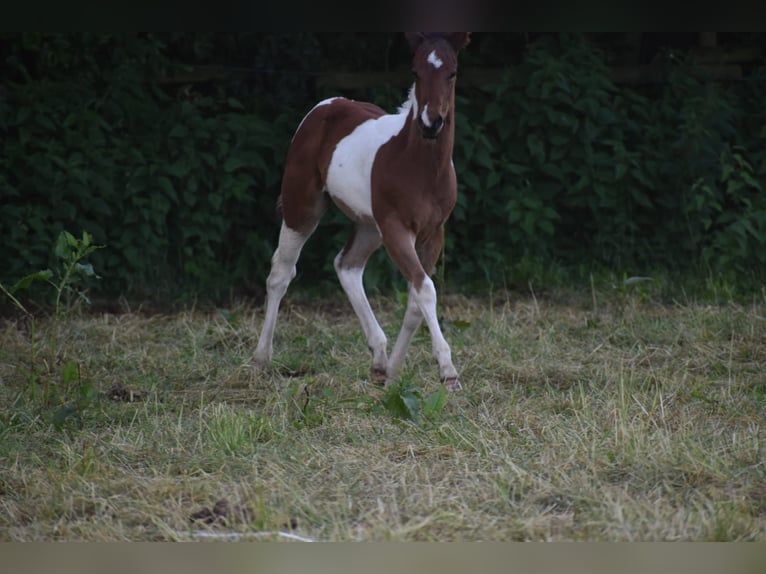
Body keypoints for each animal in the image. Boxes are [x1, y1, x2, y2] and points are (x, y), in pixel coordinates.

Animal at [253, 32, 471, 391]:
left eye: (452, 73)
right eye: (415, 72)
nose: (430, 124)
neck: (420, 166)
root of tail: (326, 104)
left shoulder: (433, 233)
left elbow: (416, 296)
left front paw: (394, 371)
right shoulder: (397, 228)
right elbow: (425, 289)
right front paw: (448, 371)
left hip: (370, 226)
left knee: (347, 265)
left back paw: (380, 359)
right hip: (303, 207)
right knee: (281, 272)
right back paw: (261, 358)